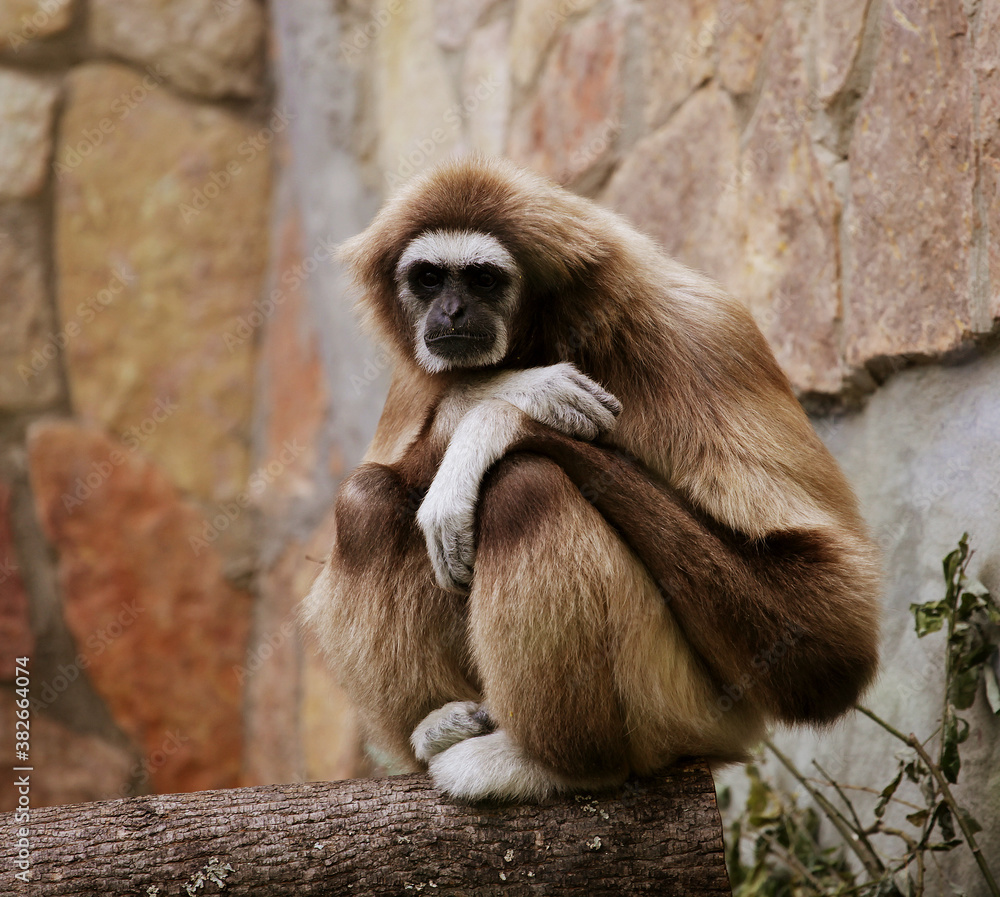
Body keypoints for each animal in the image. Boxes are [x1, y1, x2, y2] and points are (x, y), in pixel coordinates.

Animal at [303, 155, 880, 802]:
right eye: (428, 278)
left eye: (482, 280)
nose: (449, 312)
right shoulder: (416, 373)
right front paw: (513, 389)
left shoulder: (703, 334)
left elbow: (824, 636)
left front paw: (496, 413)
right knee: (367, 499)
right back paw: (439, 726)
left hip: (679, 708)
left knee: (525, 485)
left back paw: (557, 765)